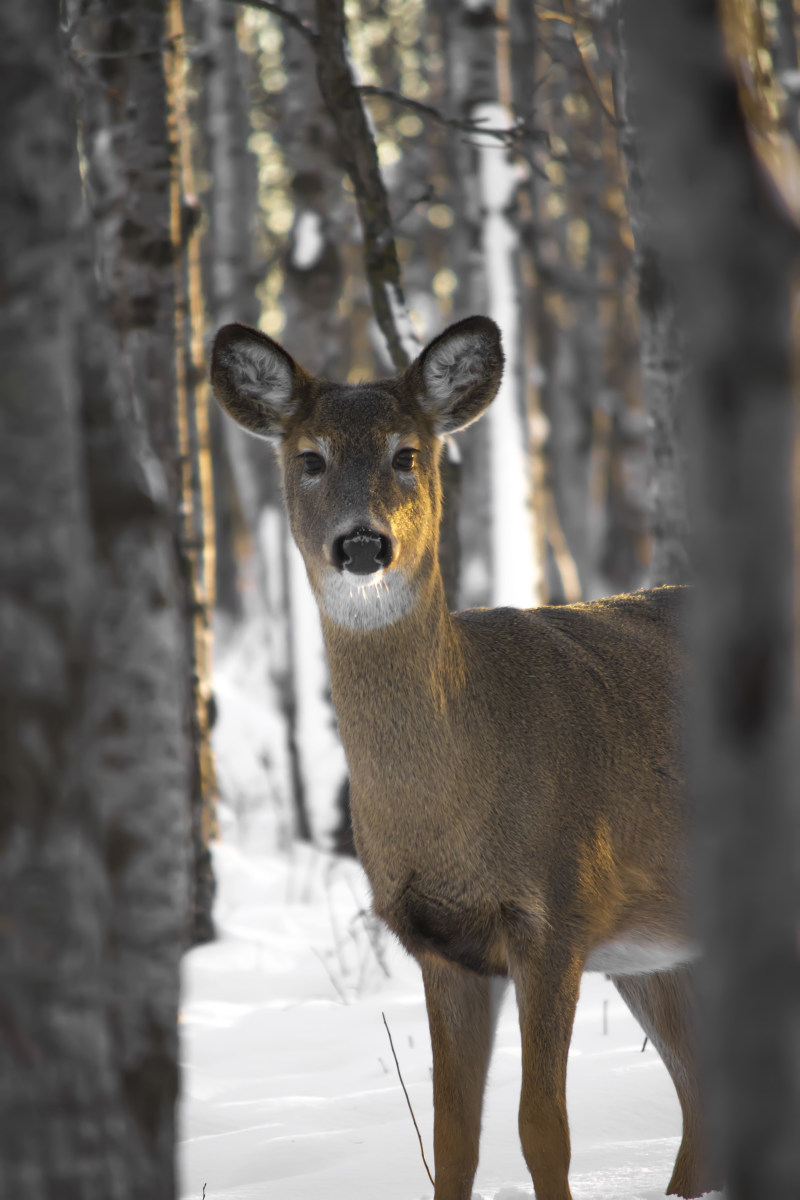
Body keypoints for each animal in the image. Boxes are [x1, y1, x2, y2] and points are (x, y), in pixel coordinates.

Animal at [209, 316, 714, 1200]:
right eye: (310, 458)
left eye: (407, 453)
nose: (363, 544)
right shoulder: (441, 946)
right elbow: (452, 1137)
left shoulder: (557, 909)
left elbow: (542, 1126)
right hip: (657, 951)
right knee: (704, 1102)